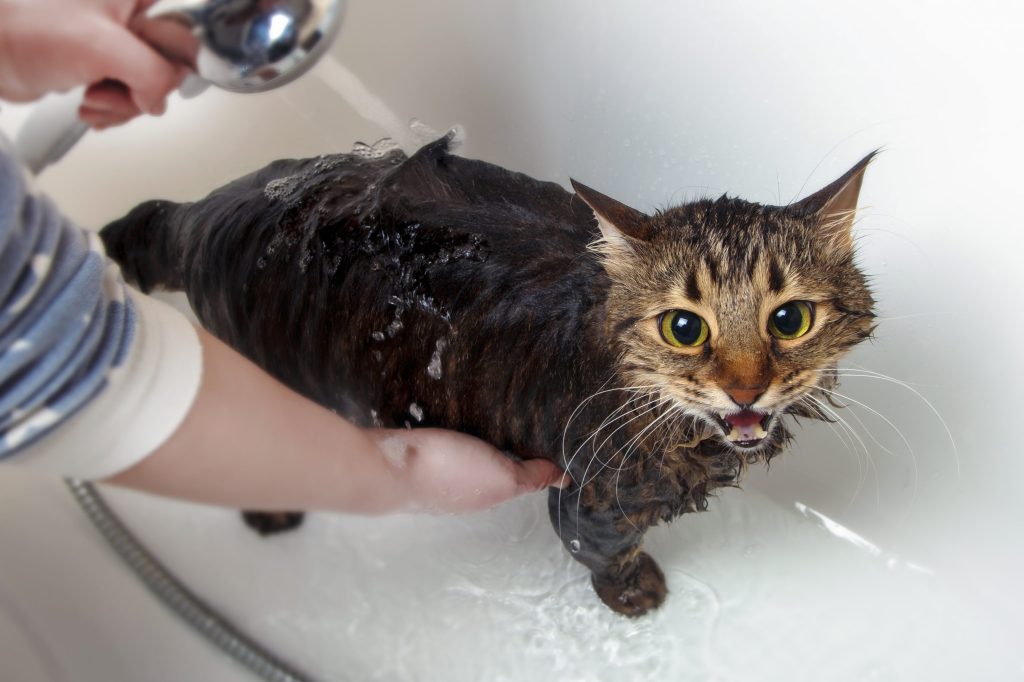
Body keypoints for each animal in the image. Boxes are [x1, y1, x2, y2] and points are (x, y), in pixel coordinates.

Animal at [99, 134, 876, 614]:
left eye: (790, 320)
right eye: (685, 329)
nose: (746, 389)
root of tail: (203, 213)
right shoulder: (590, 499)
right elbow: (608, 554)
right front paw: (635, 594)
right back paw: (272, 511)